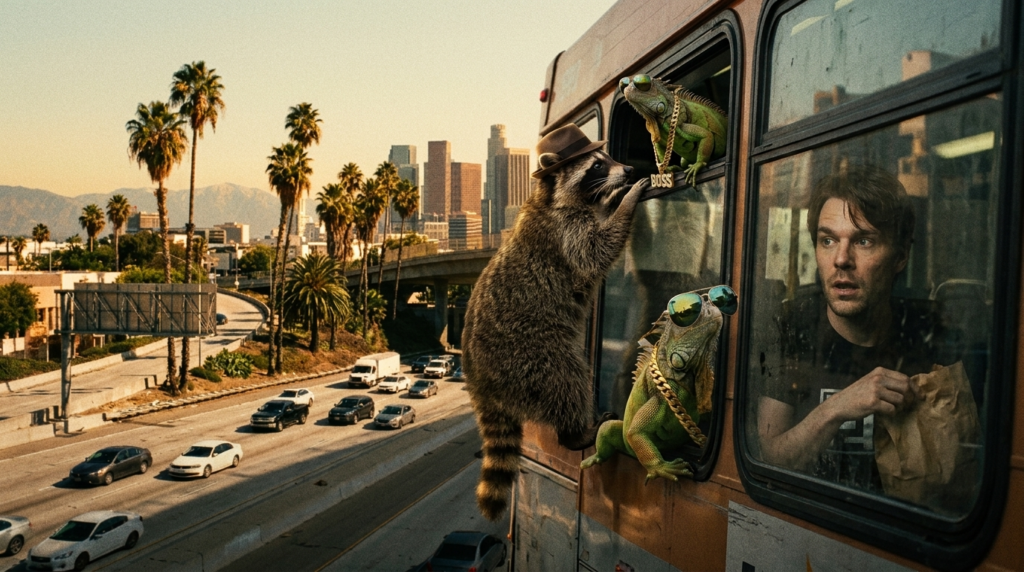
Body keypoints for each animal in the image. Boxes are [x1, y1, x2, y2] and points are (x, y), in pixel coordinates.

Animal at [462, 124, 648, 520]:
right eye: (596, 165)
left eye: (608, 158)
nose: (627, 169)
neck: (550, 197)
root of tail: (479, 380)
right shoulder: (566, 231)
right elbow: (594, 251)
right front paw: (625, 203)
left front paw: (614, 198)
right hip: (529, 355)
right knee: (567, 379)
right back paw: (575, 432)